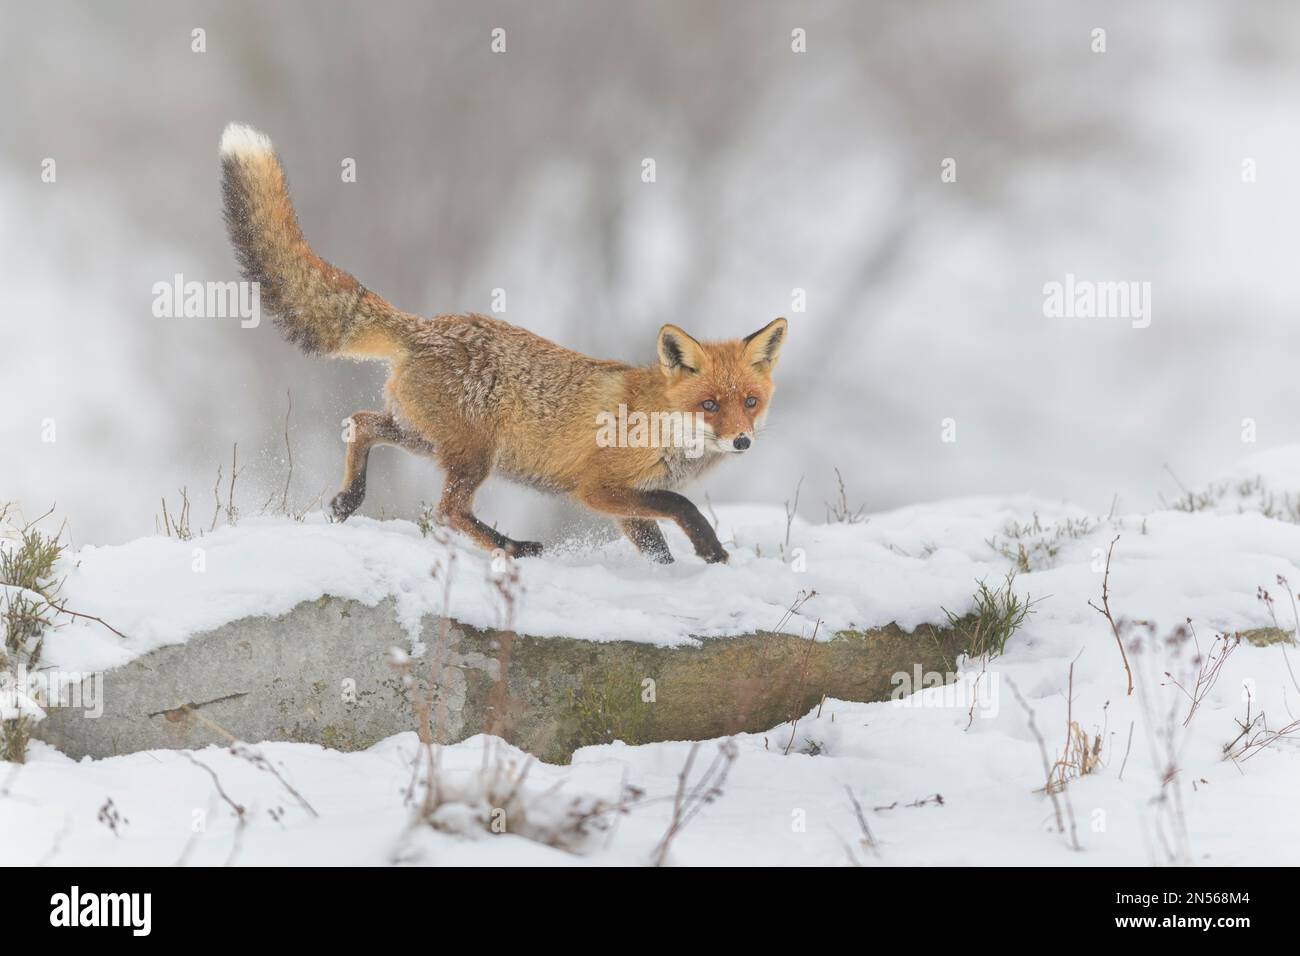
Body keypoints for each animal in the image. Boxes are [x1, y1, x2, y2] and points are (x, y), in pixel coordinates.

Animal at [219, 122, 787, 564]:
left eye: (749, 402)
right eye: (709, 404)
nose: (742, 441)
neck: (664, 427)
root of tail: (426, 325)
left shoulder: (625, 505)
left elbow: (656, 547)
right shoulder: (599, 489)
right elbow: (680, 505)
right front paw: (710, 548)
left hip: (427, 438)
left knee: (361, 424)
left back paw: (347, 501)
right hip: (473, 455)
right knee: (448, 511)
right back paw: (510, 547)